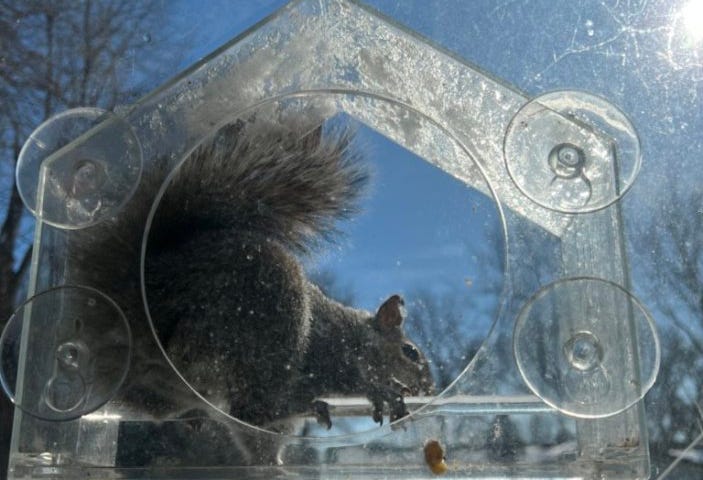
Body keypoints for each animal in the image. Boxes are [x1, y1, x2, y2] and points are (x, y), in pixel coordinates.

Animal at [70, 116, 434, 436]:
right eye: (410, 352)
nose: (428, 388)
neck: (355, 334)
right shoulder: (336, 354)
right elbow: (354, 378)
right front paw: (385, 394)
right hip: (256, 333)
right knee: (252, 412)